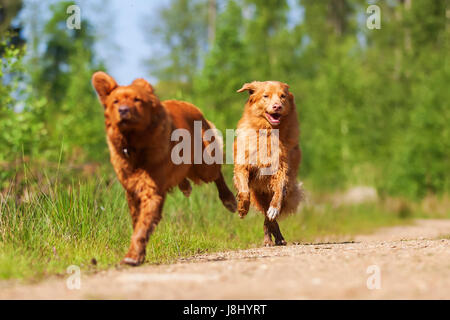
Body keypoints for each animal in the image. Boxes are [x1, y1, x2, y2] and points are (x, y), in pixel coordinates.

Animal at [92, 72, 237, 264]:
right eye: (115, 101)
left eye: (137, 100)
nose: (123, 110)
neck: (134, 144)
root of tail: (192, 106)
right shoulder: (131, 190)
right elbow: (137, 221)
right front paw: (136, 254)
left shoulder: (152, 189)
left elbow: (143, 224)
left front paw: (133, 256)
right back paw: (186, 186)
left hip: (204, 165)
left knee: (217, 174)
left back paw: (229, 200)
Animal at [232, 81, 302, 246]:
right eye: (266, 96)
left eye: (282, 96)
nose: (277, 106)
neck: (268, 132)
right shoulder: (243, 166)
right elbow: (244, 190)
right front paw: (242, 208)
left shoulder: (282, 168)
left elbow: (279, 190)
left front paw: (274, 208)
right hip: (259, 195)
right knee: (267, 218)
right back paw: (270, 239)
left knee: (269, 218)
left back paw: (278, 238)